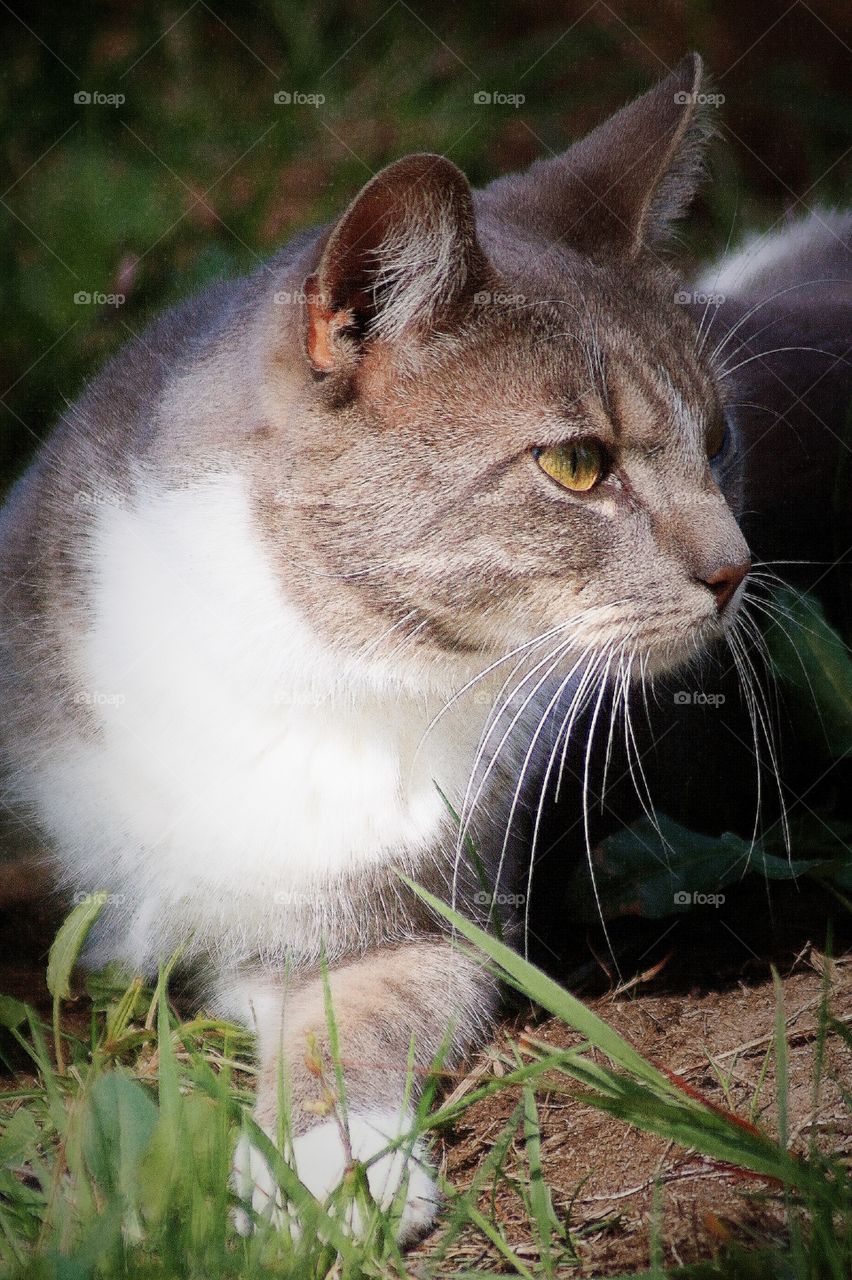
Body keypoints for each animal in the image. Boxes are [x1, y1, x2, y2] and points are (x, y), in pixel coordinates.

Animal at [0, 55, 839, 1244]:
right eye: (577, 465)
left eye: (719, 442)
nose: (736, 570)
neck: (307, 647)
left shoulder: (434, 900)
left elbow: (365, 1009)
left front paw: (327, 1162)